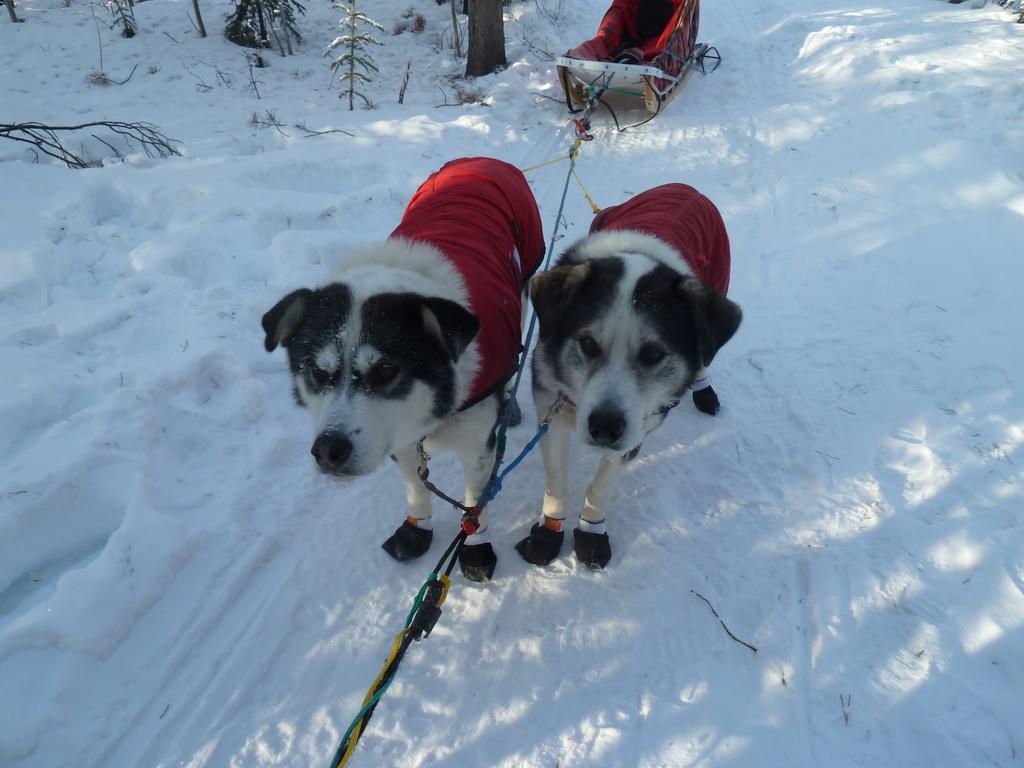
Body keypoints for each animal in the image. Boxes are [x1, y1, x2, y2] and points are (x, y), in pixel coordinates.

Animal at [262, 157, 544, 581]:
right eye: (317, 372)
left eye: (385, 371)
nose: (328, 450)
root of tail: (480, 160)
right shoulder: (400, 443)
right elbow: (415, 486)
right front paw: (417, 527)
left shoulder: (479, 445)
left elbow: (474, 507)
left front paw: (475, 547)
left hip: (524, 280)